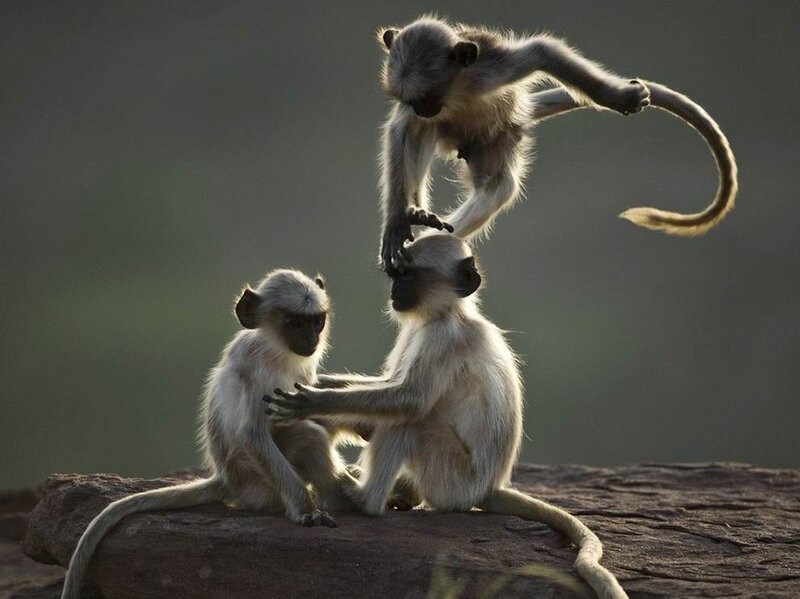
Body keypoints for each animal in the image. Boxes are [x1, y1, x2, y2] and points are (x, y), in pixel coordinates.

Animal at [61, 269, 357, 599]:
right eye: (295, 323)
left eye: (316, 321)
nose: (310, 339)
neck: (277, 352)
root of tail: (226, 479)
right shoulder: (254, 365)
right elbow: (252, 433)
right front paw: (305, 512)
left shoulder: (302, 372)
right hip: (255, 481)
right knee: (307, 436)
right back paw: (338, 501)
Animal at [266, 234, 628, 599]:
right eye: (396, 275)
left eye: (409, 277)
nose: (395, 292)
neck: (446, 314)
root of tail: (488, 487)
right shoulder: (414, 331)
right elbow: (389, 385)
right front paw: (322, 384)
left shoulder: (444, 338)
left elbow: (409, 401)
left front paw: (314, 400)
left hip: (452, 482)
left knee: (411, 424)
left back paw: (366, 499)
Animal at [376, 16, 738, 273]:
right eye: (413, 100)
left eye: (429, 98)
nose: (422, 110)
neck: (458, 91)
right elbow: (400, 129)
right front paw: (397, 221)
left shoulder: (490, 69)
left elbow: (542, 51)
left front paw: (614, 97)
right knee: (421, 135)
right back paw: (416, 211)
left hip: (497, 138)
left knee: (499, 185)